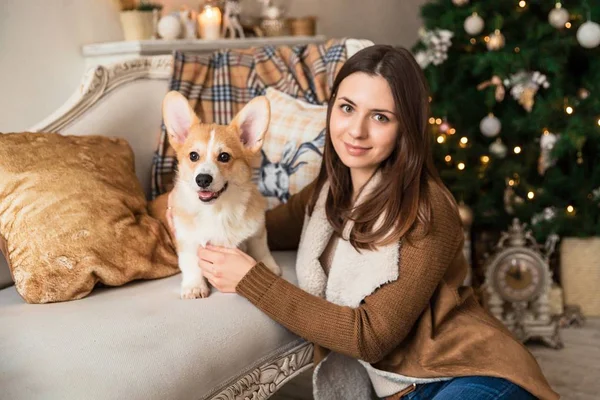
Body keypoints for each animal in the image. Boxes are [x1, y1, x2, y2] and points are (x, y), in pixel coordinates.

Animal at [159, 90, 282, 296]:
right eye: (193, 156)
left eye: (224, 156)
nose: (202, 179)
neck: (218, 210)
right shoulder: (186, 240)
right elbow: (190, 264)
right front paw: (194, 287)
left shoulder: (258, 232)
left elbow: (262, 250)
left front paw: (270, 267)